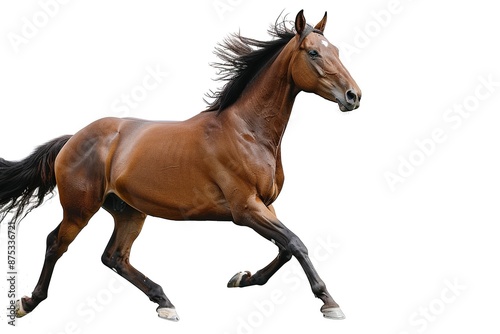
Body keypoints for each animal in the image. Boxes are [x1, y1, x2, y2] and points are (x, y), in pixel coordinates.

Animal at [0, 10, 360, 322]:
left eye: (336, 50)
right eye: (313, 52)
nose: (353, 96)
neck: (248, 131)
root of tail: (72, 138)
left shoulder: (265, 206)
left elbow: (285, 249)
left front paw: (242, 278)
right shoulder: (245, 209)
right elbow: (296, 243)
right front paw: (329, 303)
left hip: (129, 211)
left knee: (114, 256)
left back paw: (165, 303)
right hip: (80, 209)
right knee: (56, 243)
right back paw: (27, 303)